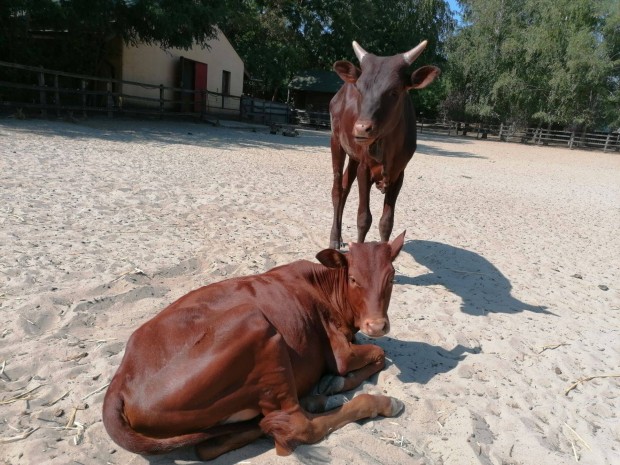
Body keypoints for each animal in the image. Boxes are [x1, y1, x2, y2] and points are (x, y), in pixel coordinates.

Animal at [103, 231, 406, 456]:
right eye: (354, 278)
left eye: (391, 277)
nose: (377, 325)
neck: (324, 286)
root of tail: (120, 382)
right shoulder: (340, 353)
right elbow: (379, 353)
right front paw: (337, 382)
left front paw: (331, 385)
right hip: (259, 328)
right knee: (295, 428)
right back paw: (382, 402)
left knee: (214, 444)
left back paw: (315, 400)